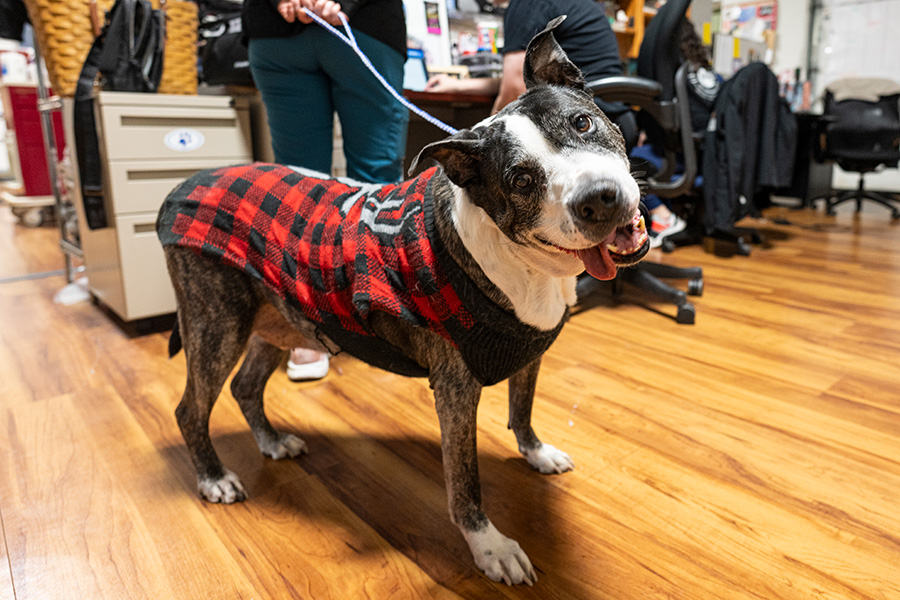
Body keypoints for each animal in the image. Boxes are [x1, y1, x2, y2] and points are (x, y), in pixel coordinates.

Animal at [156, 17, 648, 584]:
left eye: (583, 122)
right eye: (521, 180)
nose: (599, 200)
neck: (527, 267)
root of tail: (186, 183)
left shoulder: (529, 355)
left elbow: (522, 412)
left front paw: (537, 454)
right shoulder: (455, 391)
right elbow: (464, 480)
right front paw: (489, 546)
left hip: (277, 318)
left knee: (246, 387)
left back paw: (272, 442)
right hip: (218, 322)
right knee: (191, 408)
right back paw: (214, 476)